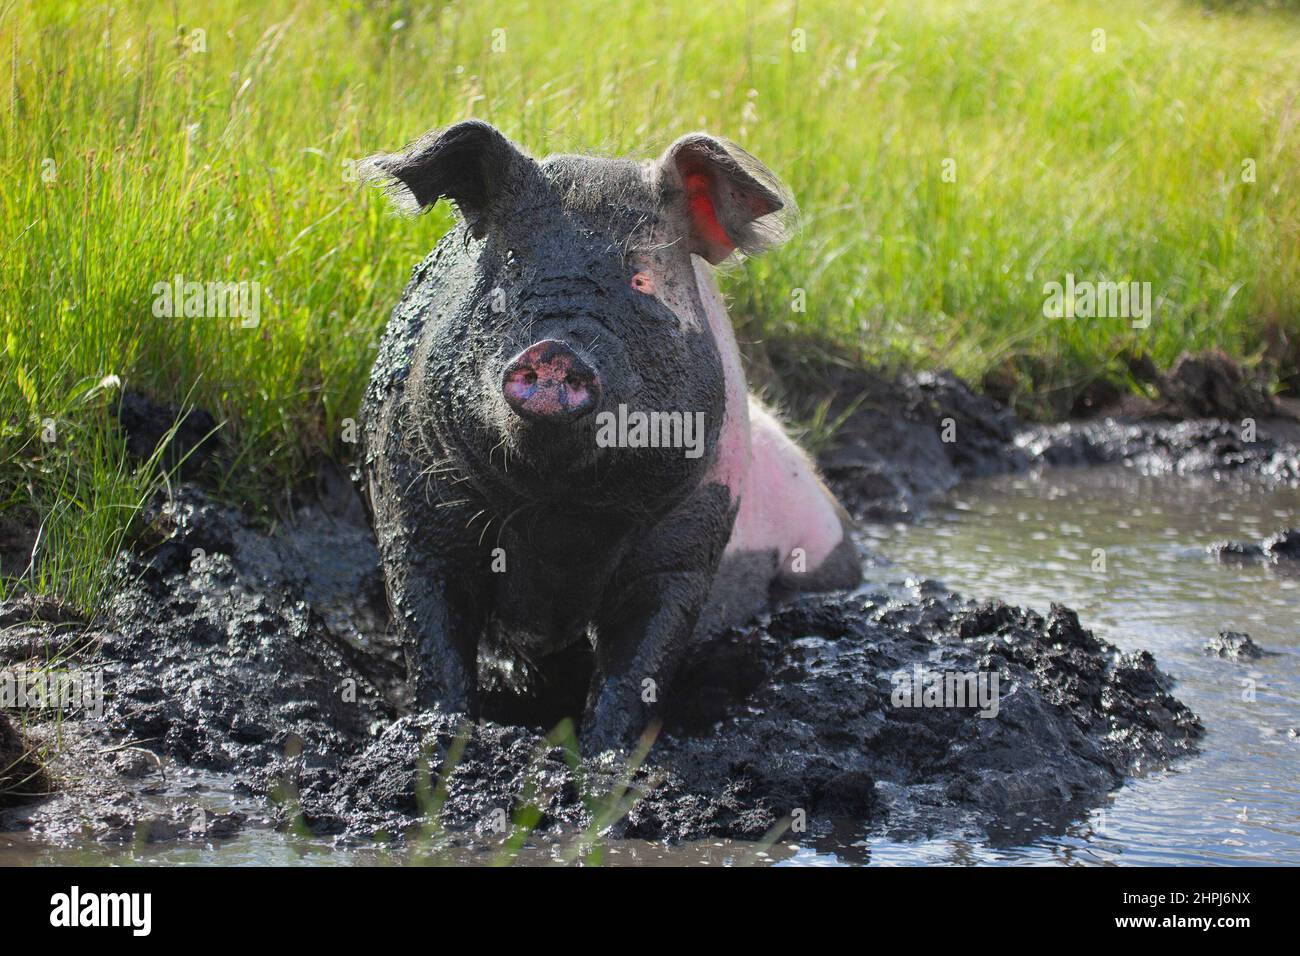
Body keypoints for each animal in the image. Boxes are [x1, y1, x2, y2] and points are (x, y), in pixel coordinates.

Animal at [361, 119, 857, 749]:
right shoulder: (410, 500)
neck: (561, 517)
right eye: (510, 269)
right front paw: (436, 730)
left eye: (641, 278)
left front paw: (605, 752)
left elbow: (643, 650)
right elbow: (429, 622)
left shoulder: (692, 534)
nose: (552, 350)